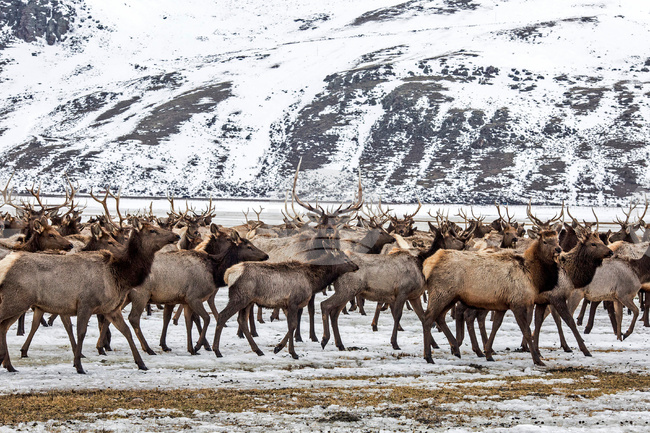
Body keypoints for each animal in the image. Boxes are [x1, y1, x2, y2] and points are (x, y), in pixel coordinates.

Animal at [0, 219, 180, 373]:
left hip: (18, 303)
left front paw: (141, 363)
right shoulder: (85, 303)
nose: (176, 236)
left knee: (3, 327)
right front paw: (79, 365)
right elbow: (81, 332)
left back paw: (9, 365)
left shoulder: (111, 308)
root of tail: (5, 265)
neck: (119, 277)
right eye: (152, 230)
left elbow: (126, 331)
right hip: (16, 300)